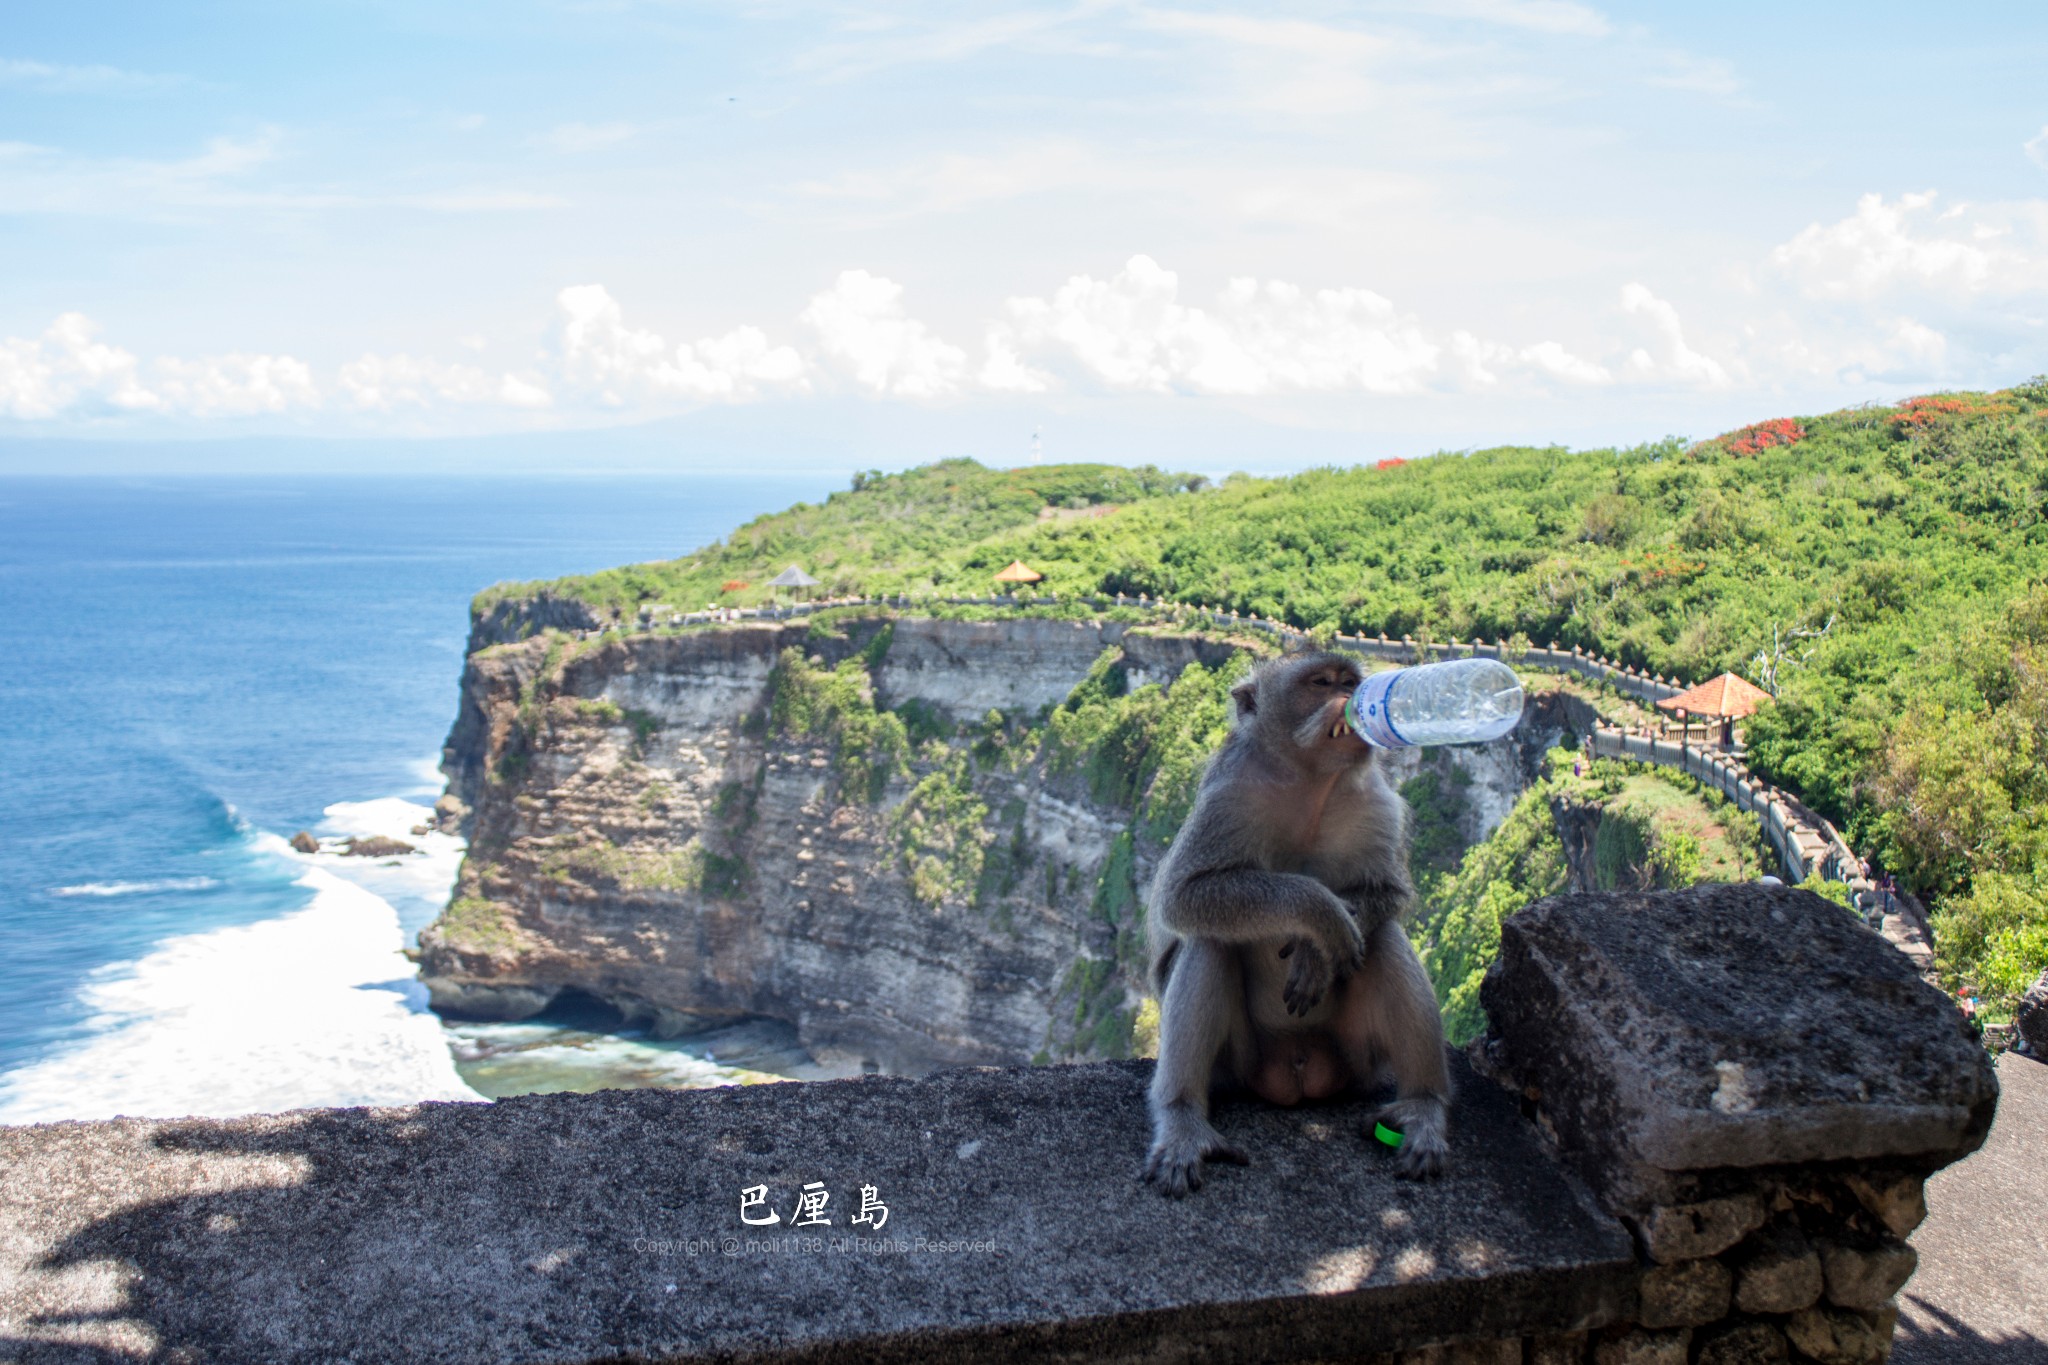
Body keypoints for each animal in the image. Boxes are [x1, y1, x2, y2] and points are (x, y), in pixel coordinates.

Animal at [1138, 650, 1458, 1195]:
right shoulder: (1229, 796)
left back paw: (1424, 1106)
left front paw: (1316, 953)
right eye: (1321, 683)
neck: (1311, 781)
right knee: (1209, 944)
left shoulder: (1377, 802)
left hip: (1357, 1058)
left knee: (1383, 938)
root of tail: (1299, 1076)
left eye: (1349, 680)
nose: (1351, 697)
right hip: (1239, 1066)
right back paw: (1182, 1120)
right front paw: (1319, 913)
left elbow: (1387, 894)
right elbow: (1186, 896)